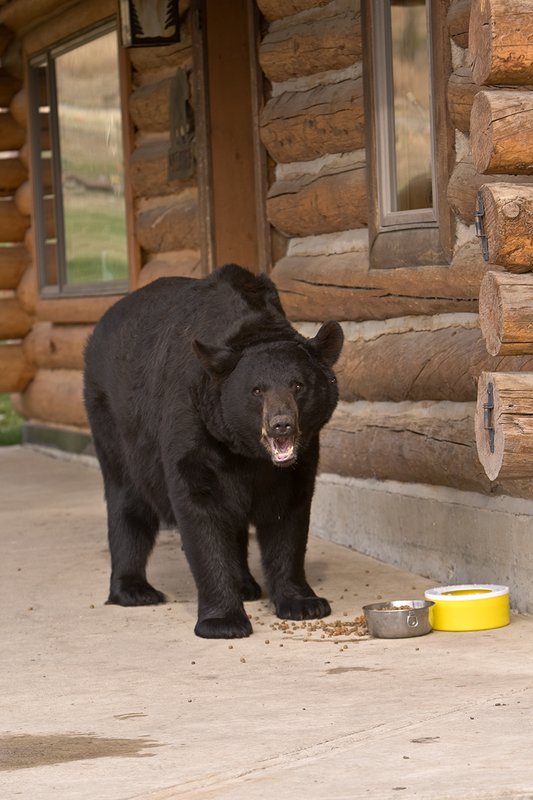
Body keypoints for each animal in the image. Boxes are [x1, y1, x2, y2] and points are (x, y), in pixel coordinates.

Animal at [83, 264, 344, 639]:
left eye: (298, 385)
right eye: (256, 390)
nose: (281, 425)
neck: (248, 451)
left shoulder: (302, 453)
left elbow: (288, 513)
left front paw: (304, 603)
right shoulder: (193, 422)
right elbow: (200, 507)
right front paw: (223, 620)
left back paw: (246, 584)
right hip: (113, 422)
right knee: (126, 498)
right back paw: (134, 589)